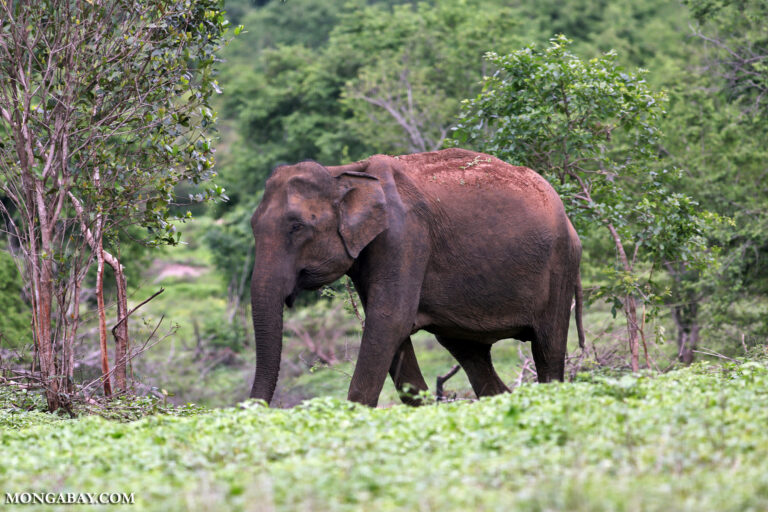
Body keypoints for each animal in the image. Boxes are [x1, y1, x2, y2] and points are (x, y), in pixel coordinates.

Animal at [249, 148, 584, 408]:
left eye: (296, 227)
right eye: (253, 226)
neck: (342, 173)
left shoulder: (405, 236)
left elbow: (390, 320)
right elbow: (389, 328)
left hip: (560, 265)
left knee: (548, 347)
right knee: (470, 353)